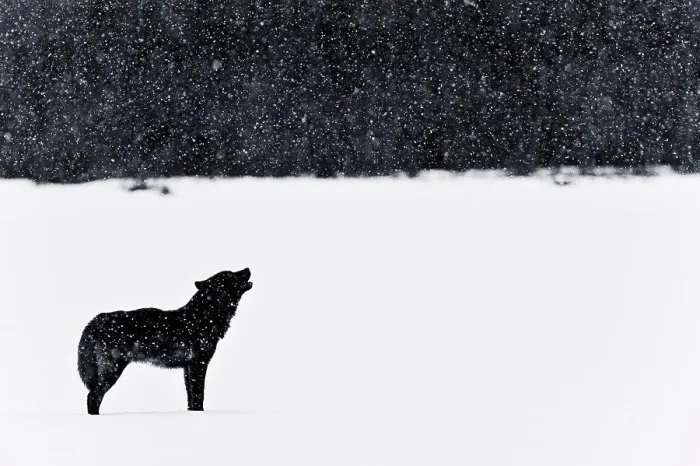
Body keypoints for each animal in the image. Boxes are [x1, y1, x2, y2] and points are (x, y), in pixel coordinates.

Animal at [77, 269, 253, 415]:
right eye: (232, 275)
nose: (248, 268)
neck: (204, 317)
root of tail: (96, 320)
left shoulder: (188, 368)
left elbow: (191, 398)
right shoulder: (199, 364)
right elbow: (199, 395)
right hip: (112, 371)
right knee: (93, 396)